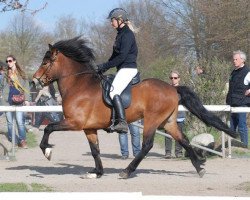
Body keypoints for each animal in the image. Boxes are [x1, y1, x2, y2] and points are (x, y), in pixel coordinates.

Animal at [32, 36, 237, 179]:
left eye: (45, 62)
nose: (34, 81)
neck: (79, 85)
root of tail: (172, 88)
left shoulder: (75, 123)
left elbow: (49, 128)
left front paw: (47, 151)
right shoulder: (89, 128)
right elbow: (95, 150)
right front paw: (97, 172)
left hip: (152, 120)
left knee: (147, 145)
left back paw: (127, 171)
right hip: (168, 122)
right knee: (184, 140)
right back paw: (199, 168)